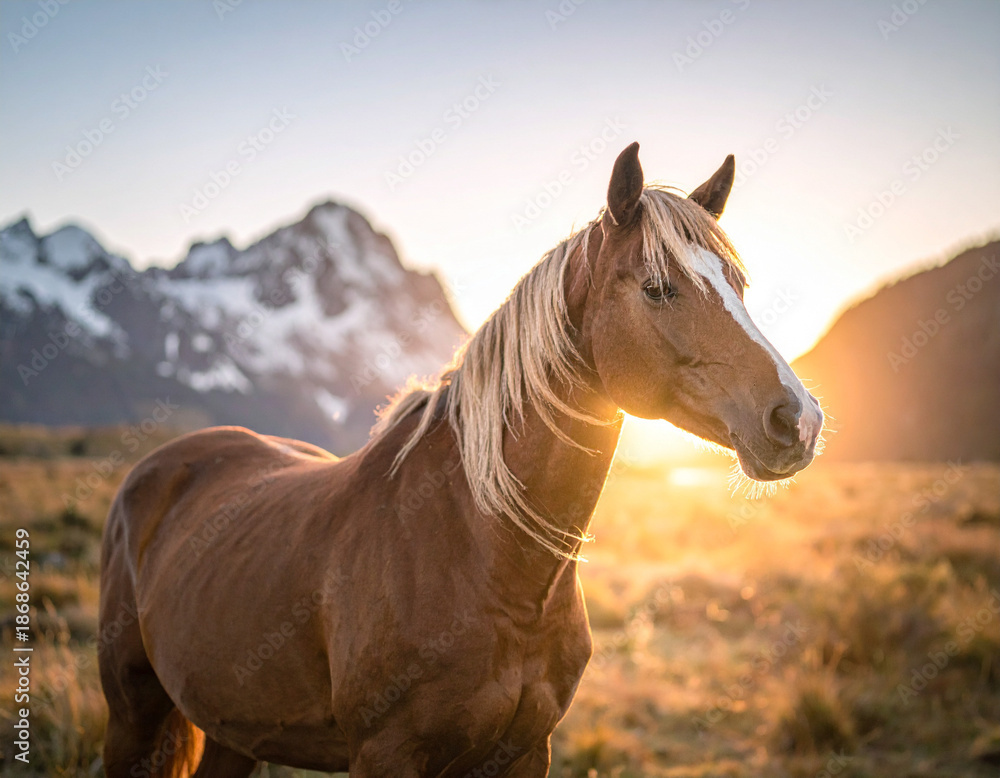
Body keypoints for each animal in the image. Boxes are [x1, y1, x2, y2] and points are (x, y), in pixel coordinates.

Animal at [98, 141, 823, 777]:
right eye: (658, 288)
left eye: (738, 284)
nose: (800, 419)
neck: (483, 552)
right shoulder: (385, 755)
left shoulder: (526, 751)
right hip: (132, 712)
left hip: (234, 728)